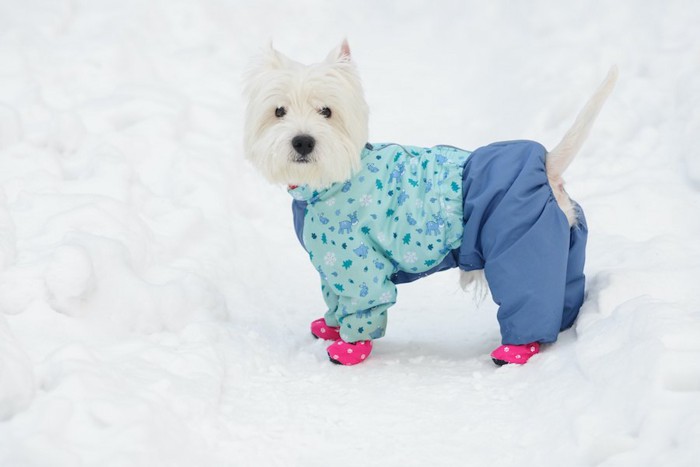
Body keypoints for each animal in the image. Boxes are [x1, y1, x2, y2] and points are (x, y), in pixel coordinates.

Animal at [243, 40, 616, 368]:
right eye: (279, 111)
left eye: (327, 111)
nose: (303, 141)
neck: (330, 181)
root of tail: (546, 163)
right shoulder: (330, 267)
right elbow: (333, 299)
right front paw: (330, 328)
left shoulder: (359, 265)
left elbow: (365, 304)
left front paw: (350, 349)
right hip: (563, 248)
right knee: (563, 293)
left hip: (521, 248)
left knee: (529, 299)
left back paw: (515, 350)